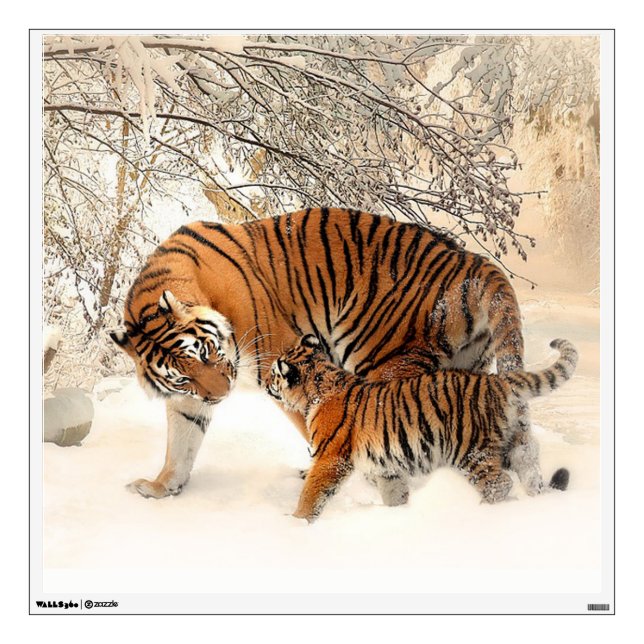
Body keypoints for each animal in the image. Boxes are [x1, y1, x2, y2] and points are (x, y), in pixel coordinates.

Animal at [110, 207, 544, 501]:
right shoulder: (189, 399)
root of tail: (471, 261)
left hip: (386, 360)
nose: (221, 395)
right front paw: (161, 487)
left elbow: (318, 427)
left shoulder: (280, 360)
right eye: (182, 376)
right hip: (464, 369)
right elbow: (181, 443)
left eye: (205, 352)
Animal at [266, 335, 577, 522]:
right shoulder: (386, 466)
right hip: (512, 443)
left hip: (471, 451)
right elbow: (394, 492)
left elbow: (312, 493)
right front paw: (399, 514)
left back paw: (481, 513)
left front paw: (296, 523)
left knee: (499, 484)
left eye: (273, 373)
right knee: (529, 468)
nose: (267, 383)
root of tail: (497, 381)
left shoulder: (330, 458)